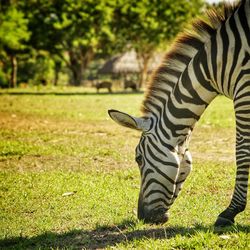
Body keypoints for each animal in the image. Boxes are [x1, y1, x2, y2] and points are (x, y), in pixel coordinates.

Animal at [108, 0, 249, 227]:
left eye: (138, 159)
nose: (142, 217)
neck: (215, 64)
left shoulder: (244, 88)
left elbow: (242, 151)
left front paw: (230, 212)